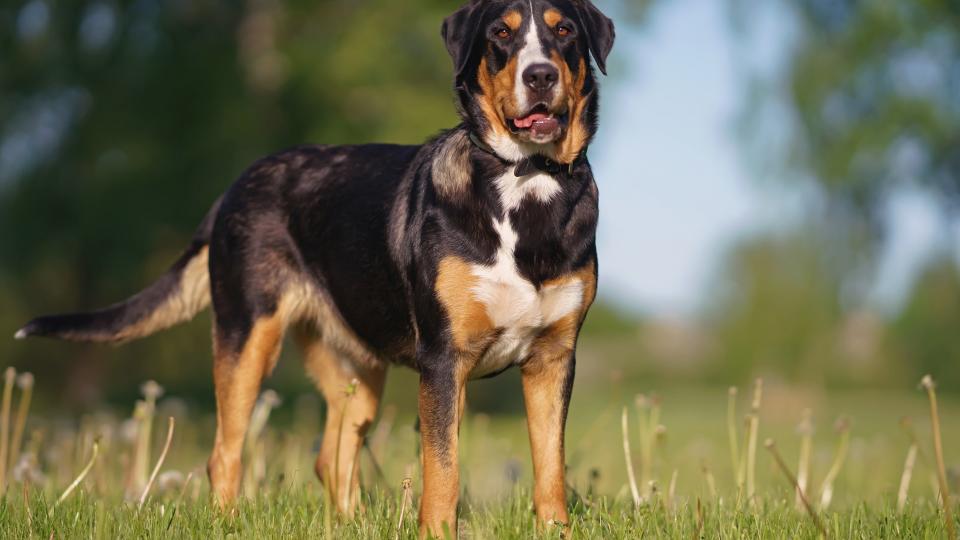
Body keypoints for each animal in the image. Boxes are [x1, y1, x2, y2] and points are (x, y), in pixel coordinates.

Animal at [16, 0, 616, 536]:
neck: (525, 186)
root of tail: (234, 187)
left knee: (333, 458)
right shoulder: (445, 360)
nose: (540, 75)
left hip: (357, 370)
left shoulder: (553, 359)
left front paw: (556, 530)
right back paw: (228, 523)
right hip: (247, 336)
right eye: (501, 34)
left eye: (564, 31)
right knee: (225, 454)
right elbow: (442, 471)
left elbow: (550, 467)